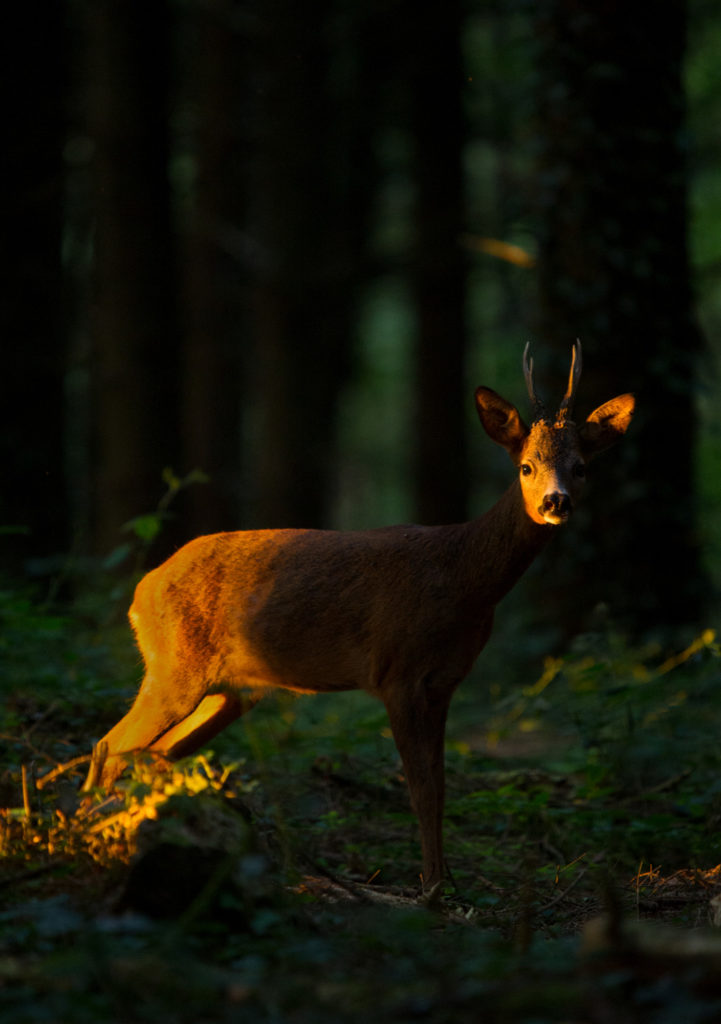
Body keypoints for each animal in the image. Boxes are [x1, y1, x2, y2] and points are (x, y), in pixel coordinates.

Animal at [84, 346, 634, 888]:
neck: (463, 580)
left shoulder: (444, 682)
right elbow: (419, 788)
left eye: (581, 466)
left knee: (152, 753)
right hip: (175, 667)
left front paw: (448, 881)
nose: (556, 502)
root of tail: (141, 590)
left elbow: (440, 787)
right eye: (525, 466)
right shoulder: (397, 673)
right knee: (111, 744)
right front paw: (432, 889)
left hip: (230, 690)